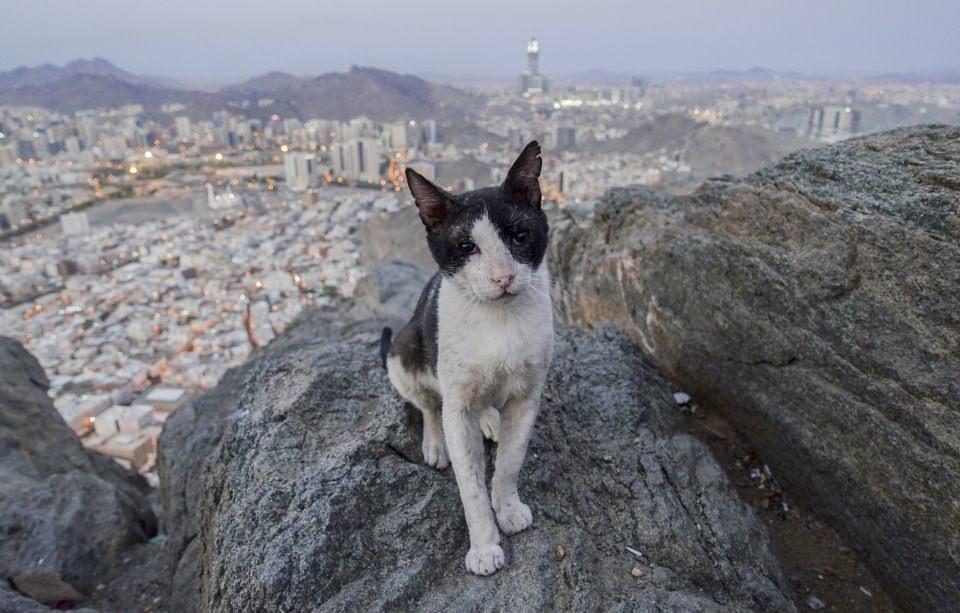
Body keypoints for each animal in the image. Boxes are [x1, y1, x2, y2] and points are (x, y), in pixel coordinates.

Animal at [378, 141, 552, 576]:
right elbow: (470, 484)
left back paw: (489, 418)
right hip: (403, 352)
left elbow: (510, 460)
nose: (503, 277)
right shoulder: (456, 407)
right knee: (428, 405)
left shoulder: (527, 398)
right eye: (467, 248)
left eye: (520, 236)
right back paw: (436, 444)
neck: (498, 320)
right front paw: (484, 547)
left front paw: (507, 508)